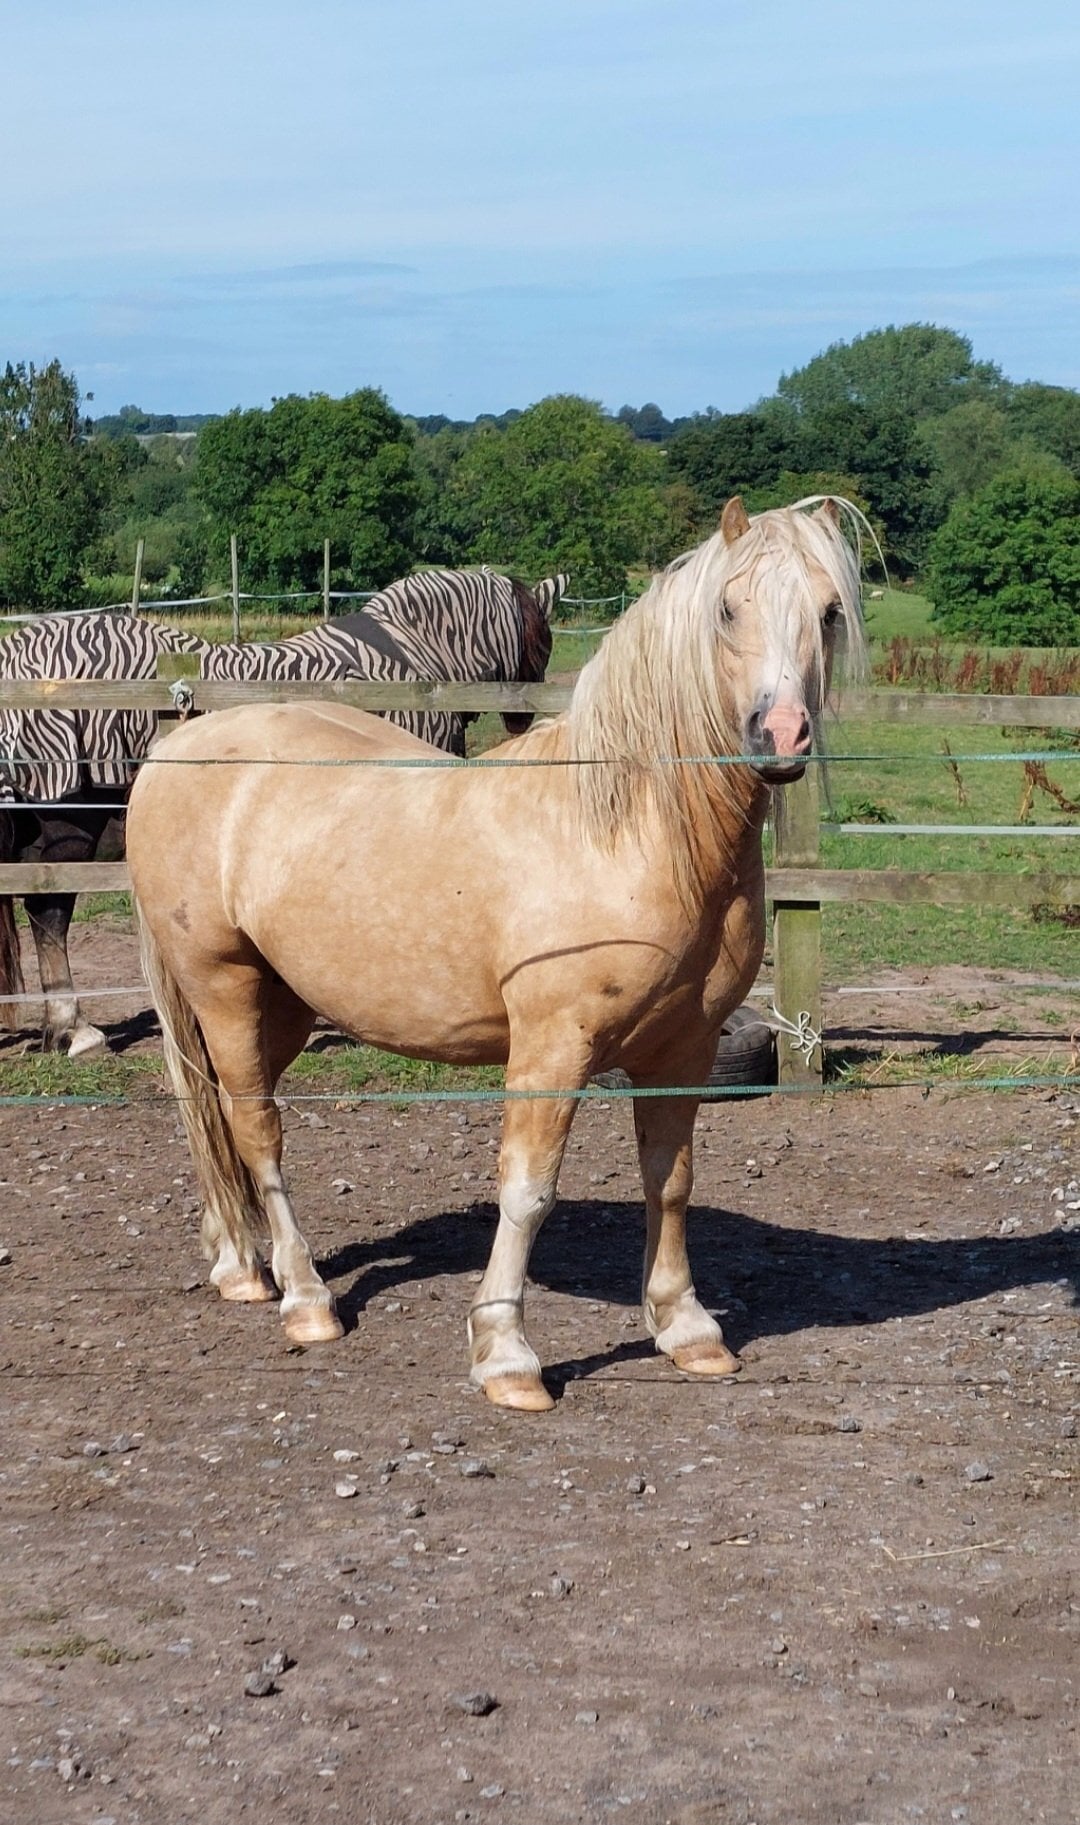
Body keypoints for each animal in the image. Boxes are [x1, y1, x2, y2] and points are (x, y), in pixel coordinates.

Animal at [0, 570, 559, 1054]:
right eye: (544, 636)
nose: (525, 718)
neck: (410, 654)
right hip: (70, 822)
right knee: (49, 913)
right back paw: (73, 1028)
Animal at [128, 497, 866, 1411]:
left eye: (829, 612)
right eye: (728, 610)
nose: (781, 734)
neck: (629, 828)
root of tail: (178, 744)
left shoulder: (683, 1047)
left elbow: (671, 1177)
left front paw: (686, 1329)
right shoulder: (553, 1046)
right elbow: (528, 1191)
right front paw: (506, 1355)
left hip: (284, 1004)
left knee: (214, 1117)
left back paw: (238, 1264)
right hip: (222, 986)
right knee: (255, 1129)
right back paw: (305, 1300)